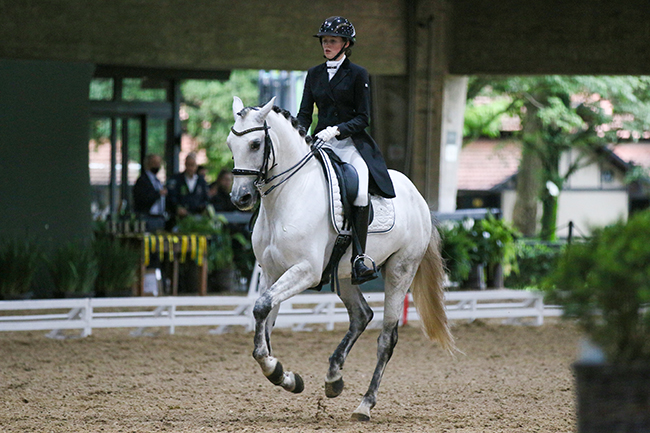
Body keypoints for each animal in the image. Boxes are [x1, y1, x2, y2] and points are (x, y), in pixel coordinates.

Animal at [225, 96, 454, 420]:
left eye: (256, 144)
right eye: (230, 143)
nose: (240, 198)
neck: (288, 195)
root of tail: (418, 198)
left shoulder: (305, 271)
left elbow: (260, 309)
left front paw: (275, 369)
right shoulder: (271, 273)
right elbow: (265, 316)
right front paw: (284, 375)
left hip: (401, 270)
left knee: (387, 337)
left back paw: (365, 404)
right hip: (344, 275)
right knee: (361, 315)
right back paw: (334, 378)